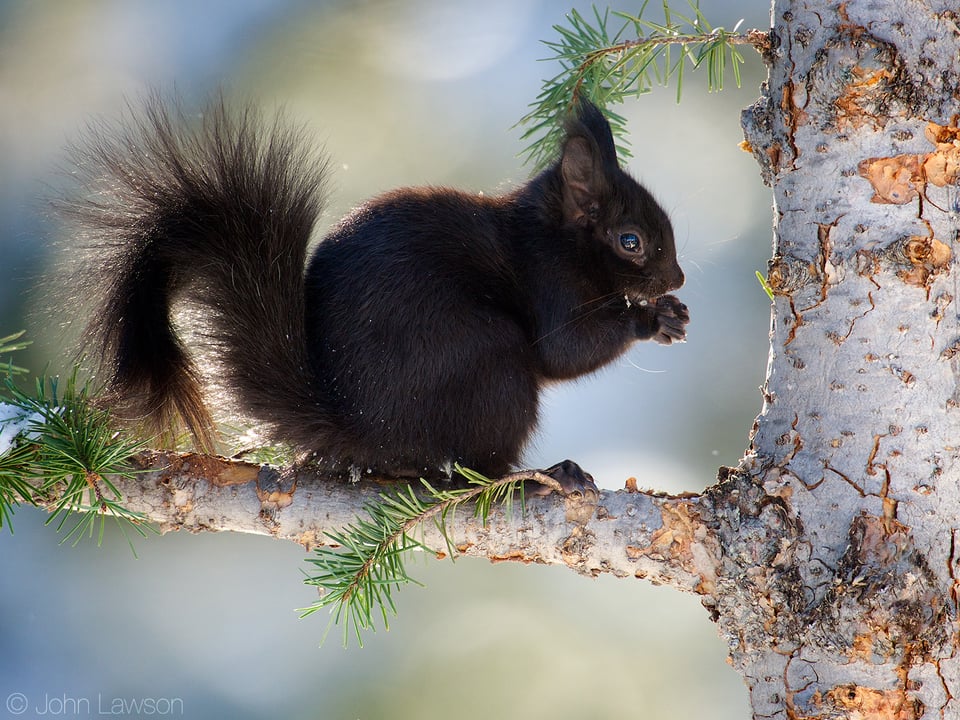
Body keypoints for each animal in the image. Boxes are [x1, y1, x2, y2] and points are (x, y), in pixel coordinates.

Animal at [60, 95, 688, 486]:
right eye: (631, 240)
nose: (678, 279)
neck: (552, 234)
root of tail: (360, 425)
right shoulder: (547, 282)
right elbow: (565, 351)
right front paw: (652, 318)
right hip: (492, 365)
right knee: (474, 470)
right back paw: (543, 476)